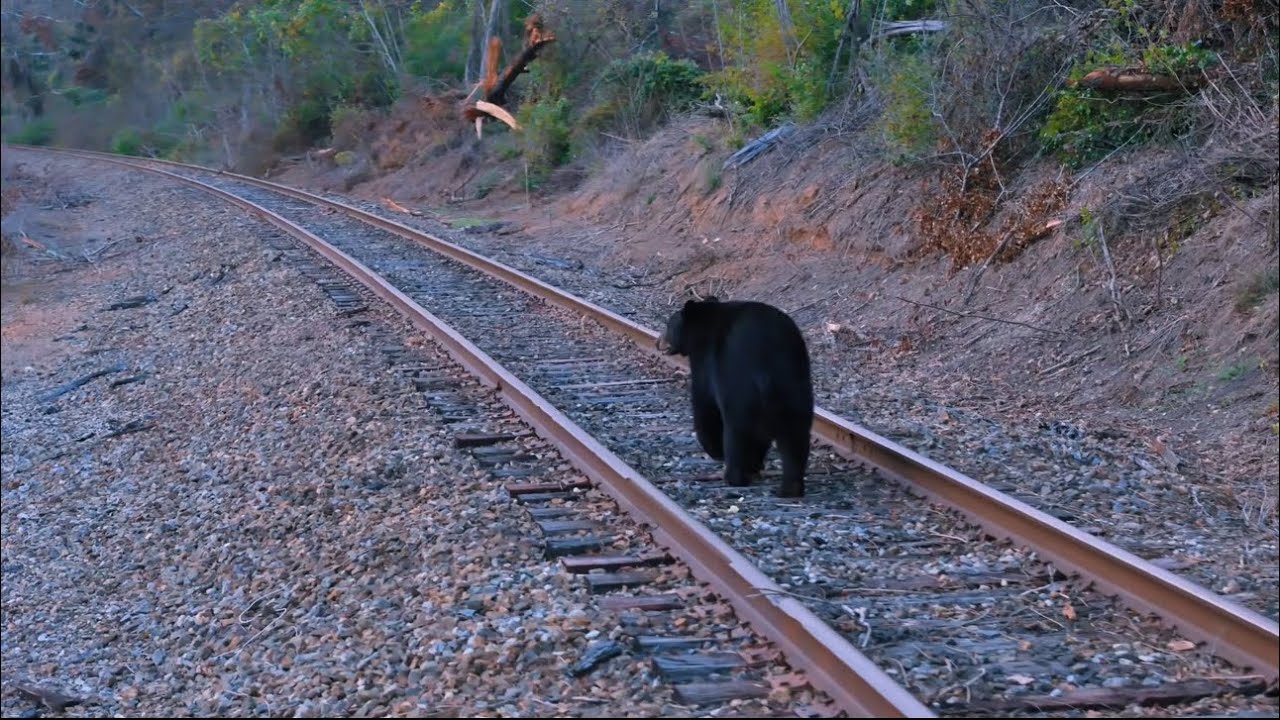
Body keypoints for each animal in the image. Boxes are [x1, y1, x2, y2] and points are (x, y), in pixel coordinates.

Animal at [657, 296, 815, 498]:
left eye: (668, 324)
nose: (658, 342)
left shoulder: (705, 362)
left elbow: (704, 403)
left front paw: (715, 450)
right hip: (794, 385)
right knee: (795, 435)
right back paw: (790, 488)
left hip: (740, 388)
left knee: (738, 431)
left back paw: (734, 476)